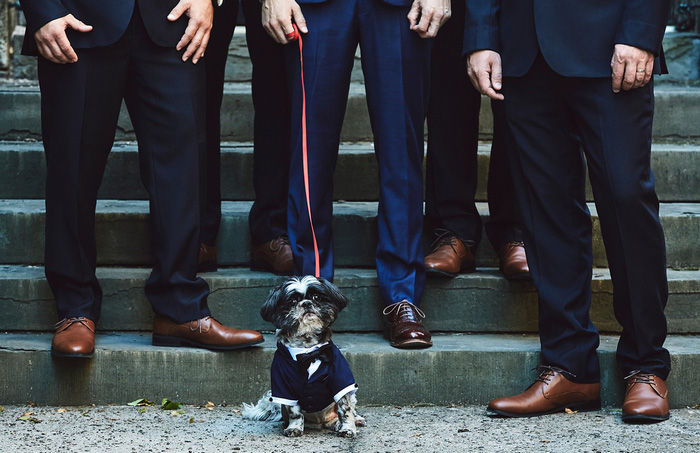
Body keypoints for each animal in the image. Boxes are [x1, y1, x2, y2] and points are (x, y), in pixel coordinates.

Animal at [242, 274, 364, 436]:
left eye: (316, 297)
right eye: (292, 301)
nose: (306, 303)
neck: (308, 351)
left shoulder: (341, 380)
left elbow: (346, 409)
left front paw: (348, 428)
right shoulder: (284, 386)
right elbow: (295, 412)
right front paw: (294, 427)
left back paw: (351, 421)